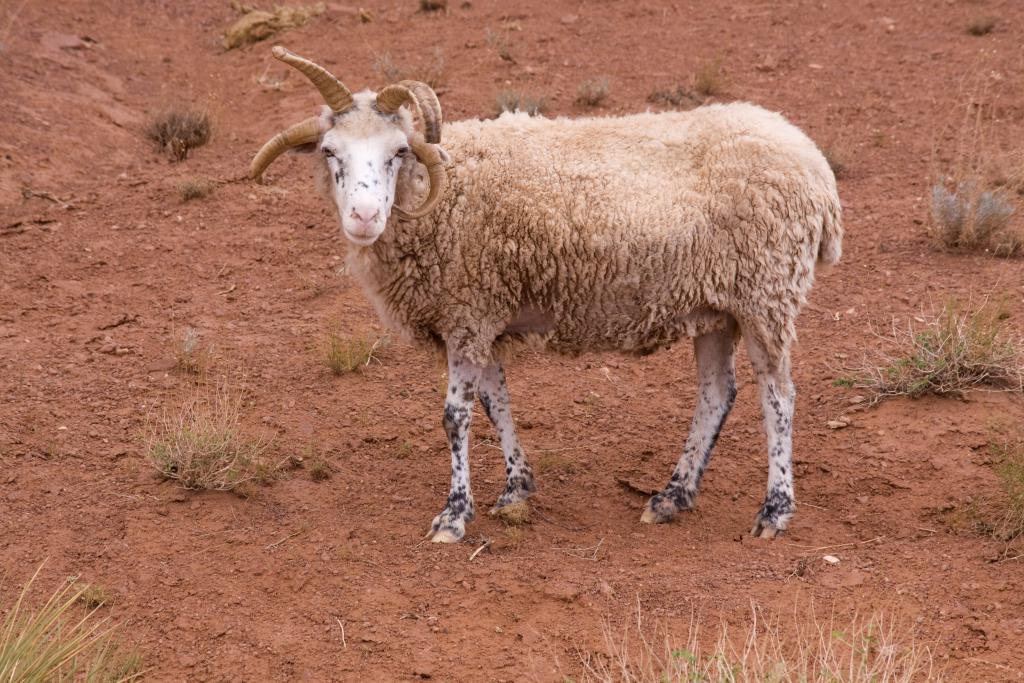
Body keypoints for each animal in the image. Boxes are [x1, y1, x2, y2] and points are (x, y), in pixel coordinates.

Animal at [249, 46, 839, 544]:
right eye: (330, 152)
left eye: (397, 152)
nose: (364, 216)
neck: (441, 194)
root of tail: (813, 161)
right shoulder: (481, 313)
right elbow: (495, 403)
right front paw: (516, 488)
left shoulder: (467, 313)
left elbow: (455, 417)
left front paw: (454, 515)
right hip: (717, 308)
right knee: (717, 393)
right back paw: (672, 496)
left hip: (767, 295)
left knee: (779, 396)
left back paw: (775, 510)